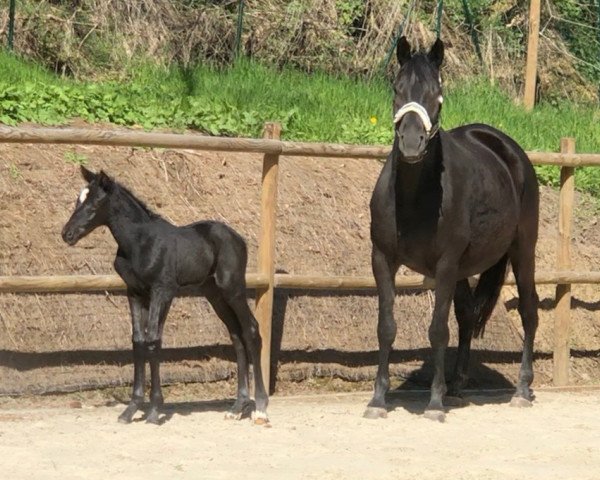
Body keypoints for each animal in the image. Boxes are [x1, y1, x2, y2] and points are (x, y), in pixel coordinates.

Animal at [62, 166, 268, 424]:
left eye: (96, 202)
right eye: (77, 200)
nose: (67, 234)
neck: (140, 243)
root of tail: (239, 239)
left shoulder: (163, 291)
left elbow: (153, 340)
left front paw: (153, 410)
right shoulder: (135, 293)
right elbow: (138, 341)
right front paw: (131, 409)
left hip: (233, 288)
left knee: (251, 330)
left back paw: (260, 407)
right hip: (214, 295)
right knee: (236, 335)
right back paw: (237, 407)